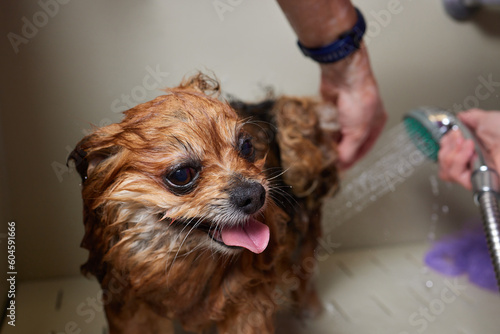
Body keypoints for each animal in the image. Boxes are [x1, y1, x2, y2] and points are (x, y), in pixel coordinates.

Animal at [69, 74, 340, 332]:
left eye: (247, 147)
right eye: (181, 175)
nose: (255, 195)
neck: (183, 262)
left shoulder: (246, 302)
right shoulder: (131, 309)